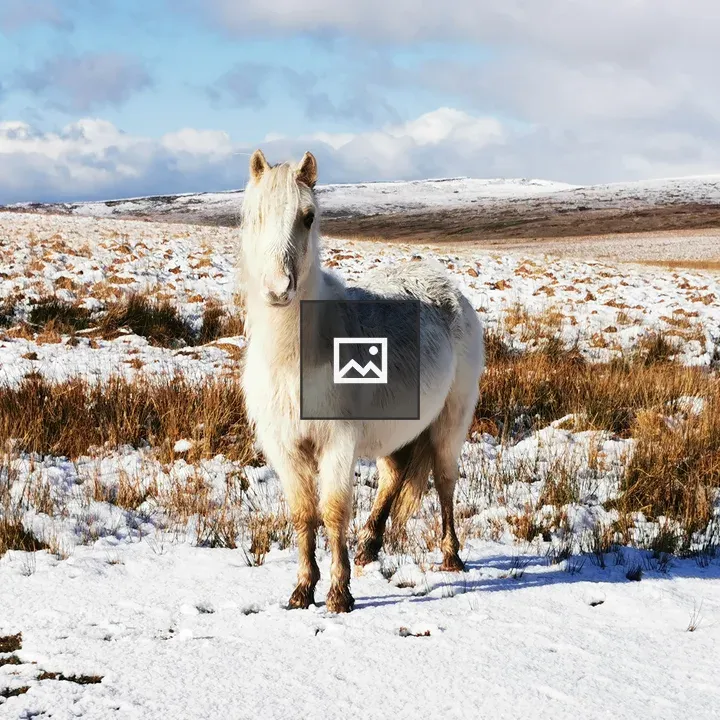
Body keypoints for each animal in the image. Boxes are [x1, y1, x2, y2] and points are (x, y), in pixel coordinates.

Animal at [238, 149, 484, 612]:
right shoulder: (286, 448)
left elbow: (333, 511)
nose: (279, 289)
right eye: (253, 216)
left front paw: (338, 594)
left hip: (450, 422)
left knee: (444, 481)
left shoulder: (338, 444)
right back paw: (369, 546)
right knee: (393, 478)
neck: (295, 358)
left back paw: (451, 555)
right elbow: (303, 514)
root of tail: (452, 291)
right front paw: (302, 590)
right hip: (397, 429)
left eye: (308, 217)